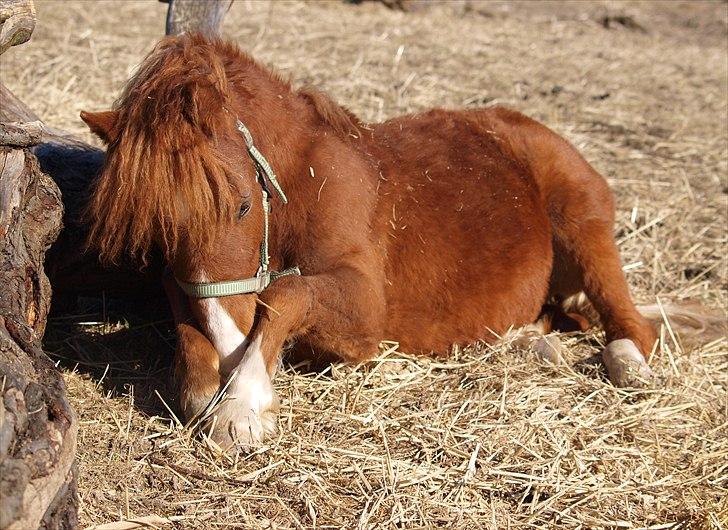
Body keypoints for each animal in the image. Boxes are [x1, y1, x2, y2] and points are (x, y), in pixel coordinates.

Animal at [79, 35, 688, 450]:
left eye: (243, 207)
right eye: (159, 236)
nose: (233, 353)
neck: (303, 181)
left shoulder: (365, 308)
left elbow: (285, 295)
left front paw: (243, 405)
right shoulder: (183, 287)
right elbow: (189, 333)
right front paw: (216, 386)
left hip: (586, 229)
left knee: (630, 325)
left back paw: (630, 370)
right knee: (559, 320)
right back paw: (534, 345)